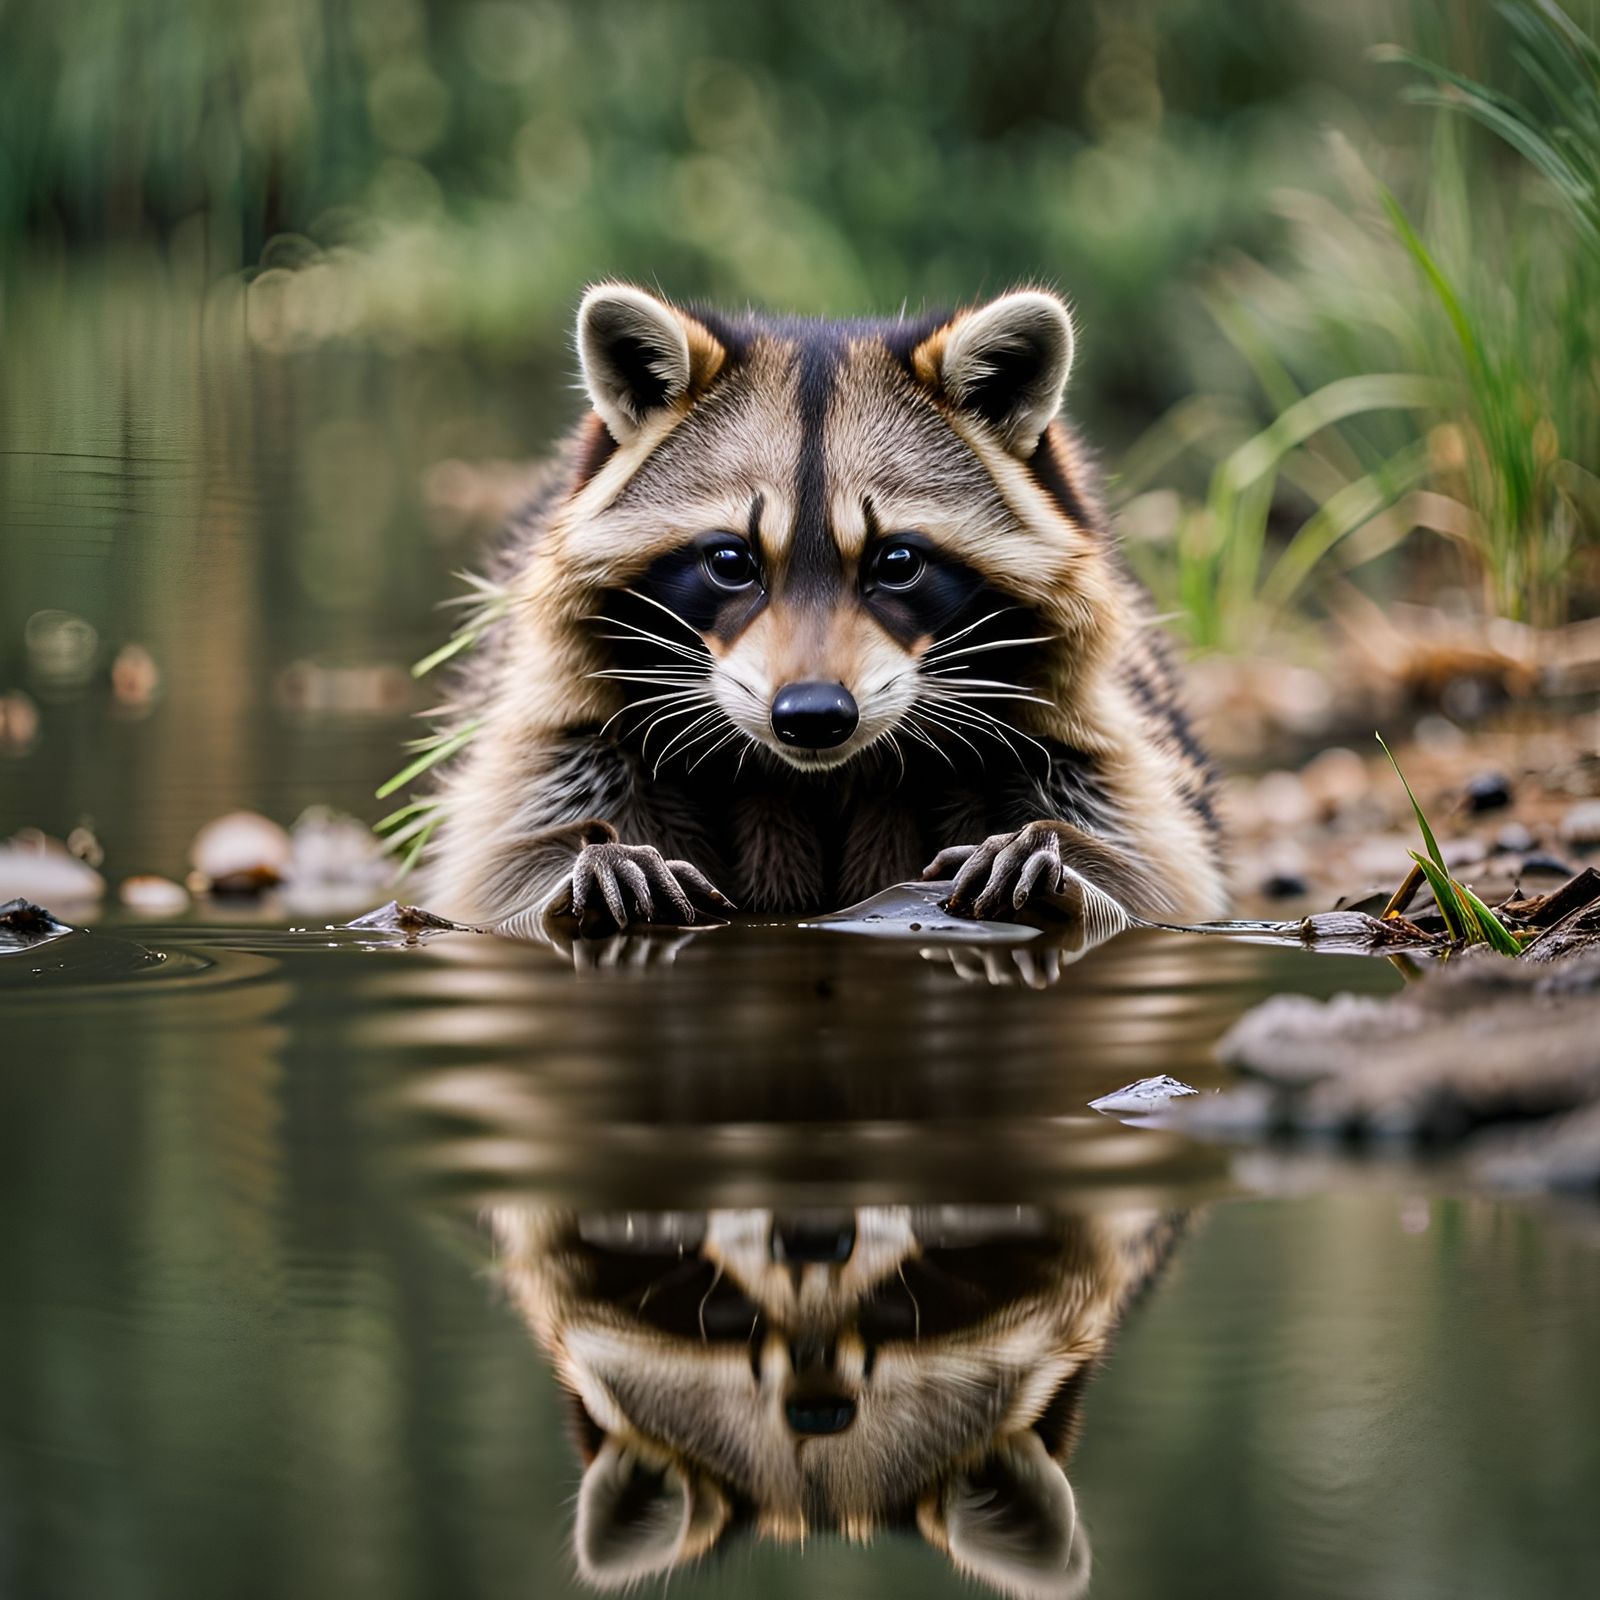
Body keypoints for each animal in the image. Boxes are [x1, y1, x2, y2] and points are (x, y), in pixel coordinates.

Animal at [421, 284, 1225, 929]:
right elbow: (492, 870)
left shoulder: (1077, 732)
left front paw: (1063, 862)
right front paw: (583, 860)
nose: (811, 715)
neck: (819, 778)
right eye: (732, 563)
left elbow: (1155, 873)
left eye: (896, 563)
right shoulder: (570, 727)